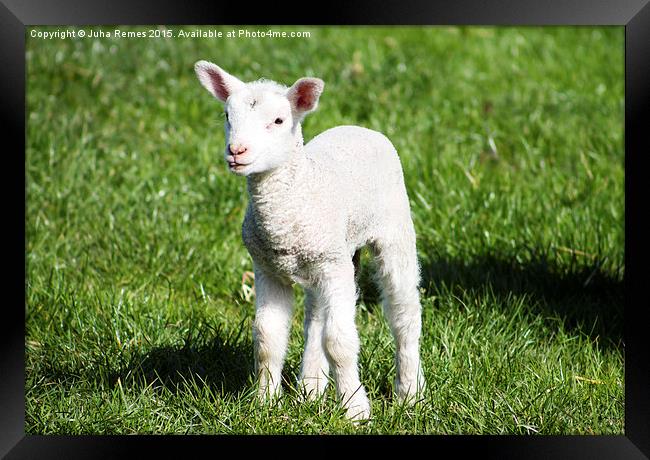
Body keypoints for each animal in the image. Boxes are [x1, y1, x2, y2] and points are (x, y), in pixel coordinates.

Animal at [192, 61, 426, 420]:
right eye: (227, 116)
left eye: (278, 121)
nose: (236, 151)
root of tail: (358, 127)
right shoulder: (268, 268)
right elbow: (267, 338)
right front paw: (265, 403)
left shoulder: (334, 268)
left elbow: (340, 341)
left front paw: (355, 409)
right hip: (323, 259)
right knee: (316, 318)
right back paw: (310, 390)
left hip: (392, 228)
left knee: (404, 311)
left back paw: (410, 393)